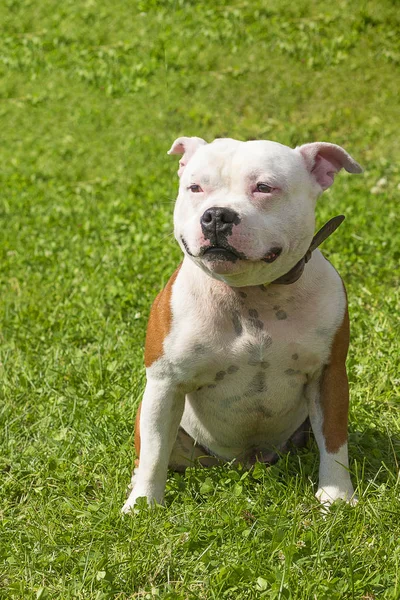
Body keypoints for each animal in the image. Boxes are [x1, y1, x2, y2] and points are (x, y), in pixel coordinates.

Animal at [122, 135, 362, 510]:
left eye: (264, 187)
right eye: (195, 187)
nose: (217, 215)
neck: (250, 296)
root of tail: (243, 460)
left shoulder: (329, 375)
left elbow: (335, 439)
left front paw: (336, 496)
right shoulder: (164, 382)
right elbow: (153, 453)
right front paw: (144, 504)